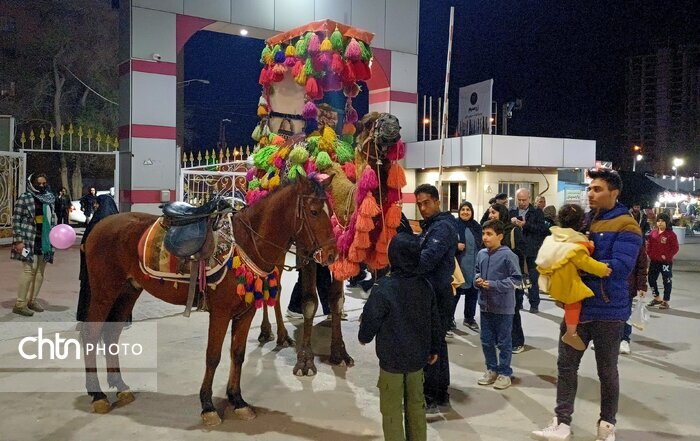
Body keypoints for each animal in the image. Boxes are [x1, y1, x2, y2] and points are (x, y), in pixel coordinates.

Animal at [80, 175, 338, 422]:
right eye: (314, 211)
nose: (332, 254)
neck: (246, 242)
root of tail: (98, 227)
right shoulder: (221, 313)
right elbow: (213, 356)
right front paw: (207, 405)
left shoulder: (246, 313)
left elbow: (237, 354)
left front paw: (237, 400)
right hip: (105, 292)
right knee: (91, 334)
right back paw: (97, 394)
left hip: (128, 291)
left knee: (112, 334)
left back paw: (120, 386)